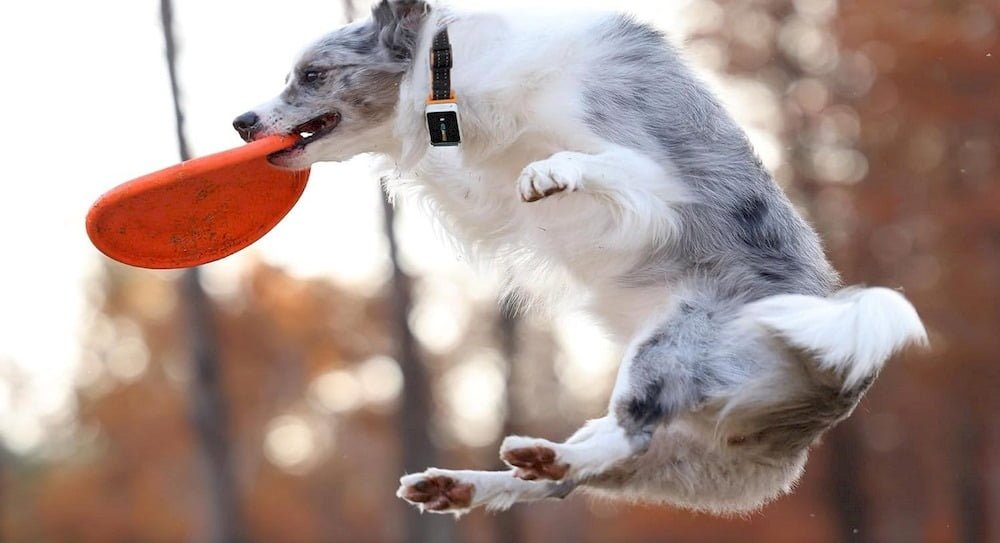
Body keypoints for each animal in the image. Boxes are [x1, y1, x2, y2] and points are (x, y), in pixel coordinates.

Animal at [230, 0, 924, 516]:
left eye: (312, 74)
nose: (241, 121)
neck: (445, 73)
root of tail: (837, 378)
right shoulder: (480, 187)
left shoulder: (656, 179)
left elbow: (591, 162)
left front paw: (550, 171)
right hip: (677, 437)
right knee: (576, 475)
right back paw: (470, 482)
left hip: (671, 350)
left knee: (623, 436)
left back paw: (544, 458)